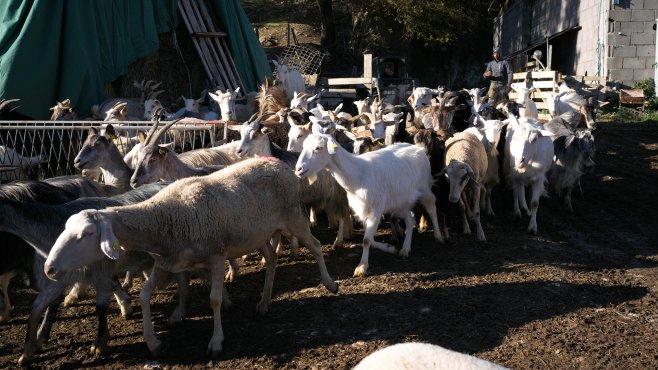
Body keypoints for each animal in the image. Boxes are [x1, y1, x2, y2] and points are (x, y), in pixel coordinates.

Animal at [44, 157, 338, 358]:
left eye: (87, 234)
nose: (49, 268)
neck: (166, 217)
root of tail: (279, 163)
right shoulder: (165, 262)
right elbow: (145, 295)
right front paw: (153, 342)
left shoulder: (216, 258)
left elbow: (215, 299)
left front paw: (216, 341)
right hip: (259, 233)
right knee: (272, 259)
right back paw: (264, 302)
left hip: (293, 217)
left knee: (315, 246)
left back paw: (330, 284)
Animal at [294, 134, 444, 276]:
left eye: (318, 148)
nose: (298, 169)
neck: (357, 173)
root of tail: (418, 148)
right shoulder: (364, 210)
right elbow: (370, 238)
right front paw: (390, 248)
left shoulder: (375, 209)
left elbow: (366, 239)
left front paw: (362, 267)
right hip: (401, 200)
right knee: (410, 219)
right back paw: (405, 249)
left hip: (424, 187)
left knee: (432, 207)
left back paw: (438, 236)